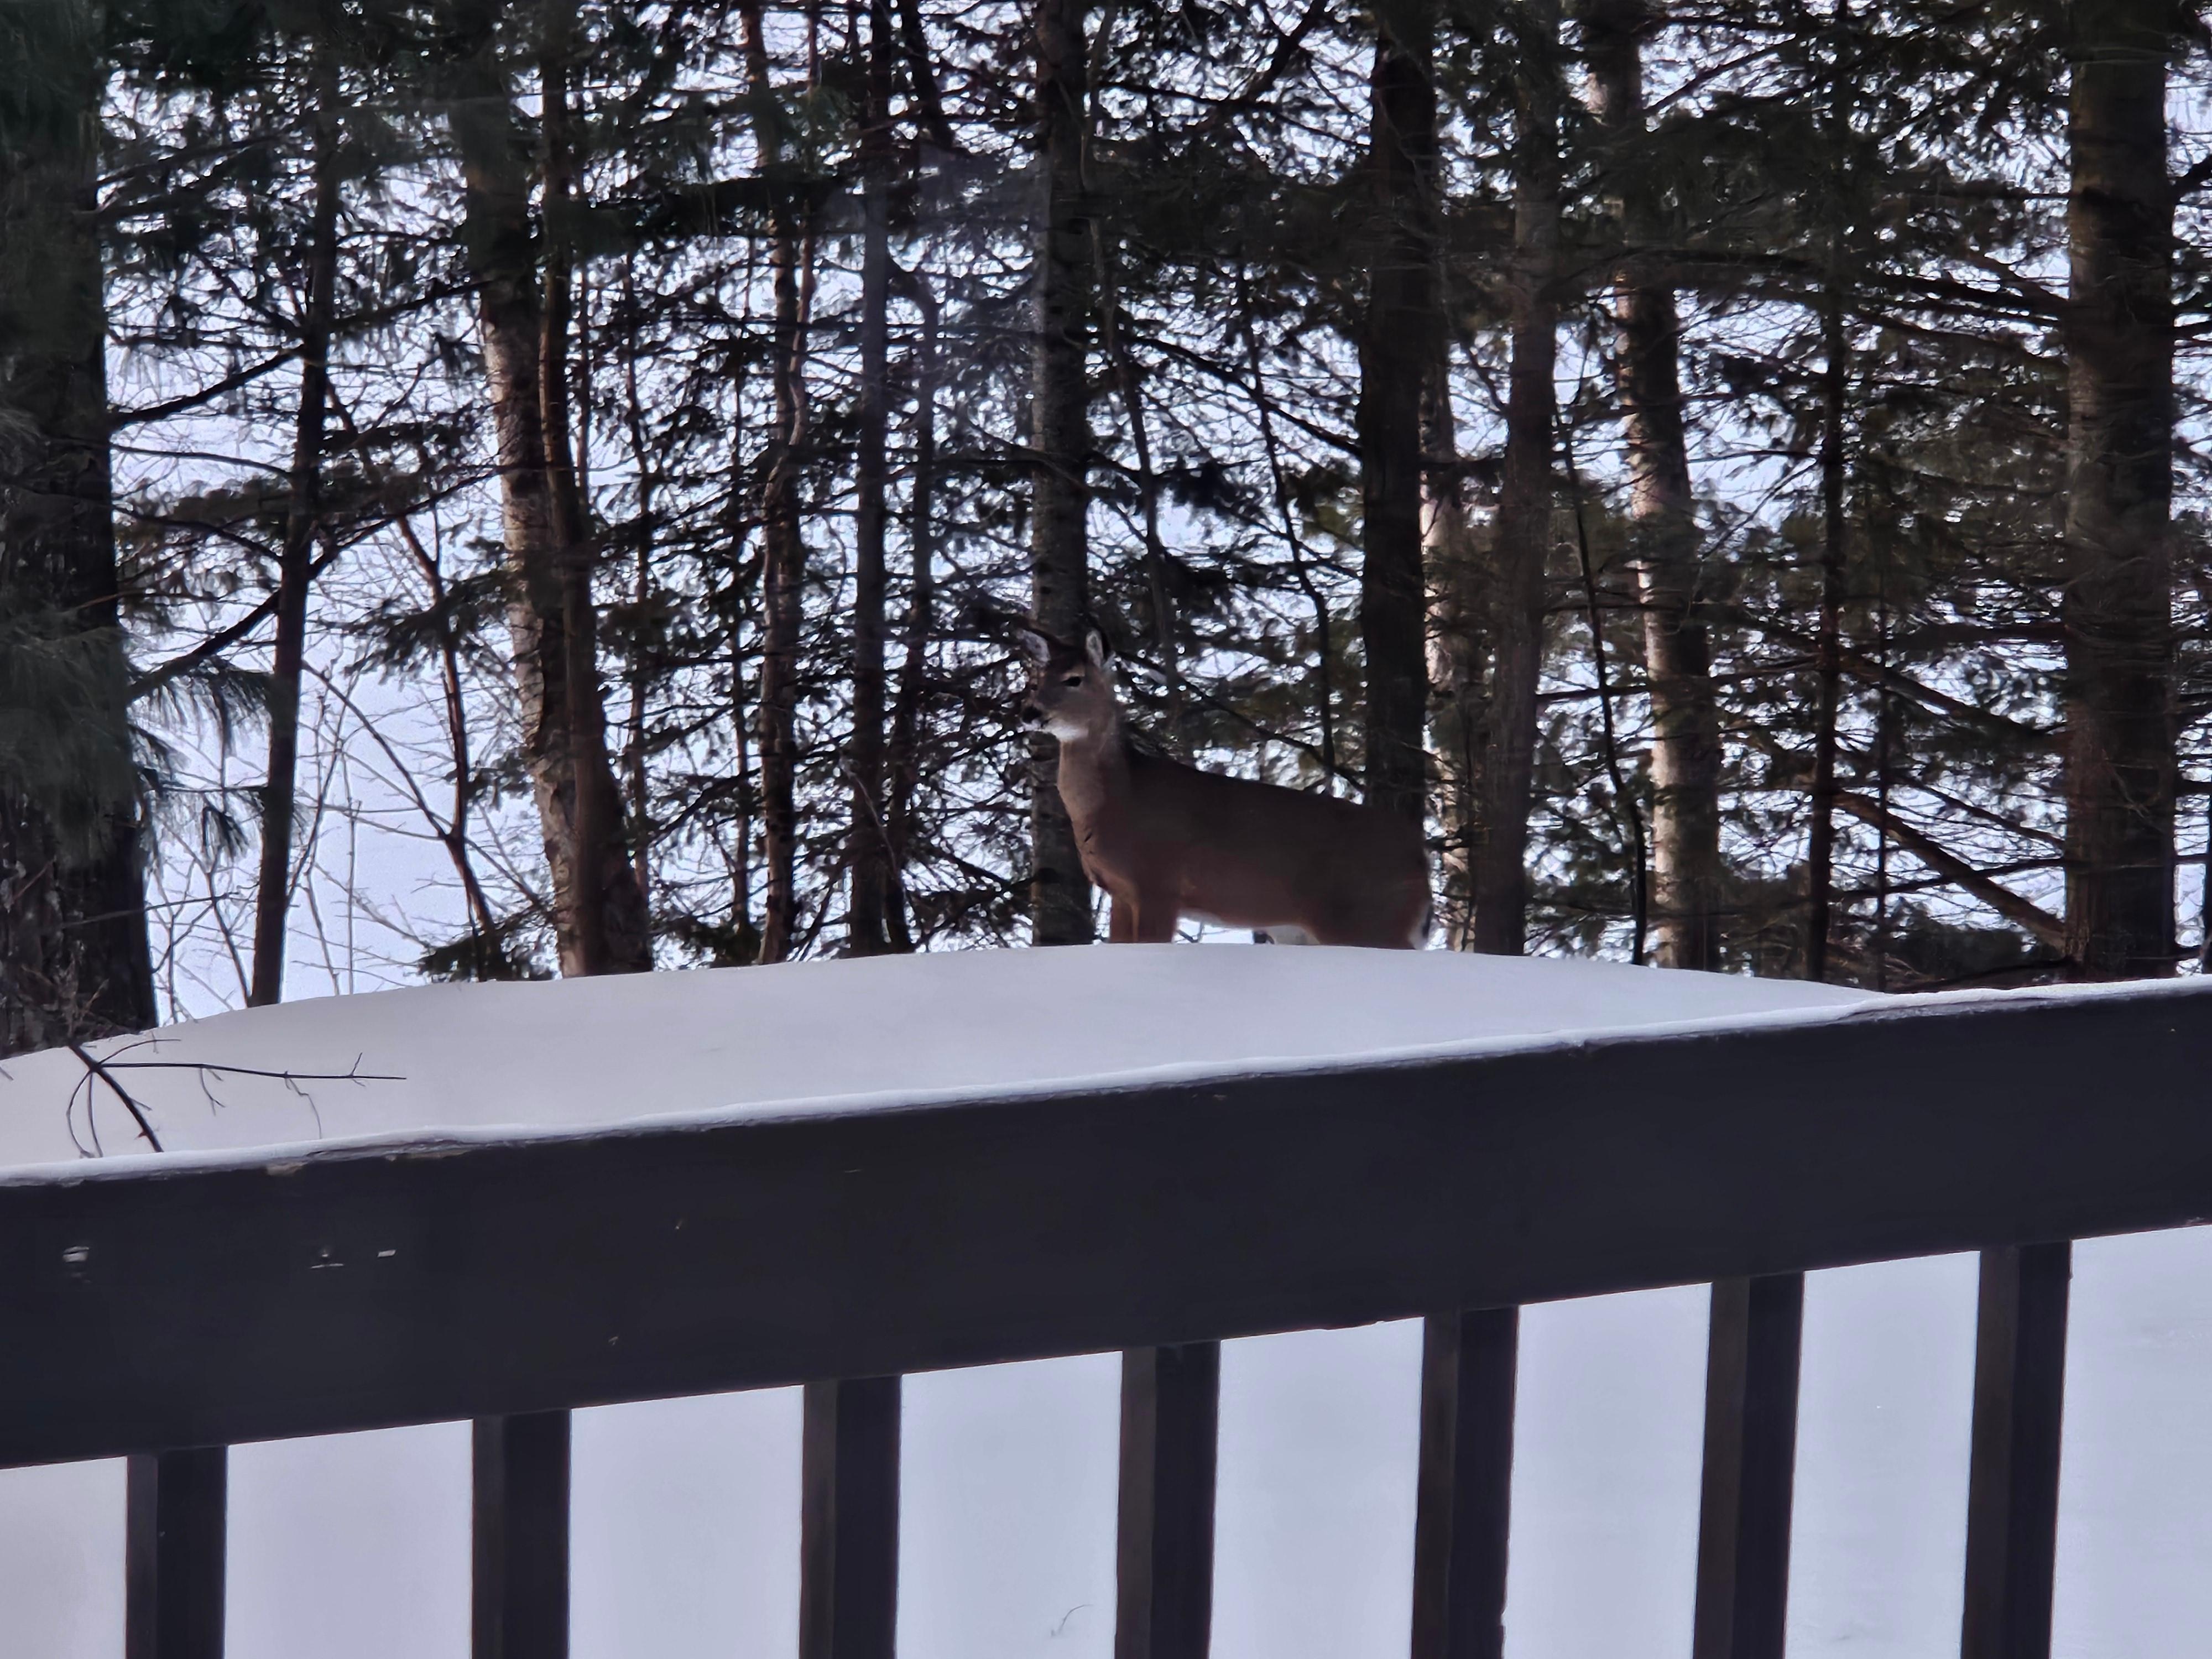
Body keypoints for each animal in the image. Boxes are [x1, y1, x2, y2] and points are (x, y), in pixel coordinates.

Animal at [1016, 623, 1431, 947]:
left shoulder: (1158, 882)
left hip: (1370, 918)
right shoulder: (1121, 890)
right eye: (1033, 681)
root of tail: (1419, 857)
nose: (1029, 713)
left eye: (1074, 679)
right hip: (1309, 930)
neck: (1118, 799)